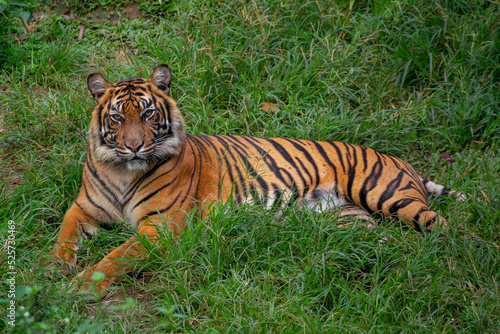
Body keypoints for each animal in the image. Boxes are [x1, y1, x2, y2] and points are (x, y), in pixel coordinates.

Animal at [47, 64, 464, 294]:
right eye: (117, 118)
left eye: (148, 114)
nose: (134, 146)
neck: (121, 170)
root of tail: (403, 162)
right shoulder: (83, 208)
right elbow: (62, 237)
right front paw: (50, 271)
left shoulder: (159, 226)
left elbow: (114, 257)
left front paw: (78, 285)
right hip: (351, 222)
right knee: (390, 245)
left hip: (387, 194)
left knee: (444, 227)